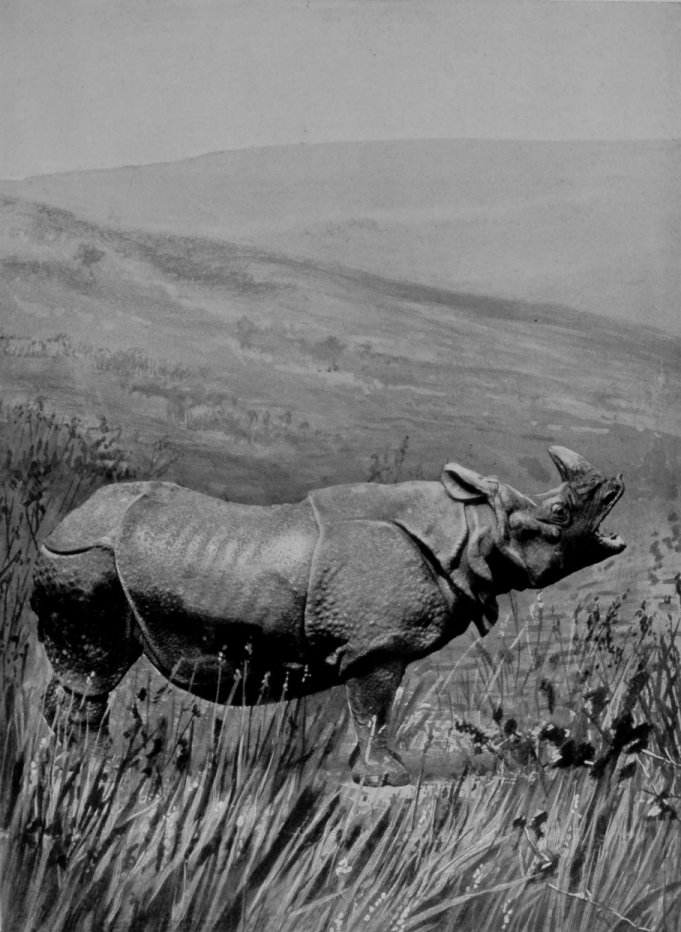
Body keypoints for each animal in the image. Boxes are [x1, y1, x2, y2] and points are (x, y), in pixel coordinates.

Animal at [30, 446, 625, 786]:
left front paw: (385, 769)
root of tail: (66, 521)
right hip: (88, 559)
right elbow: (375, 709)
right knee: (94, 667)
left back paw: (82, 762)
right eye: (560, 513)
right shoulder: (378, 646)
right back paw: (99, 768)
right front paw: (387, 778)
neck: (472, 528)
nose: (616, 485)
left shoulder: (374, 646)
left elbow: (375, 712)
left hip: (94, 556)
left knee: (83, 675)